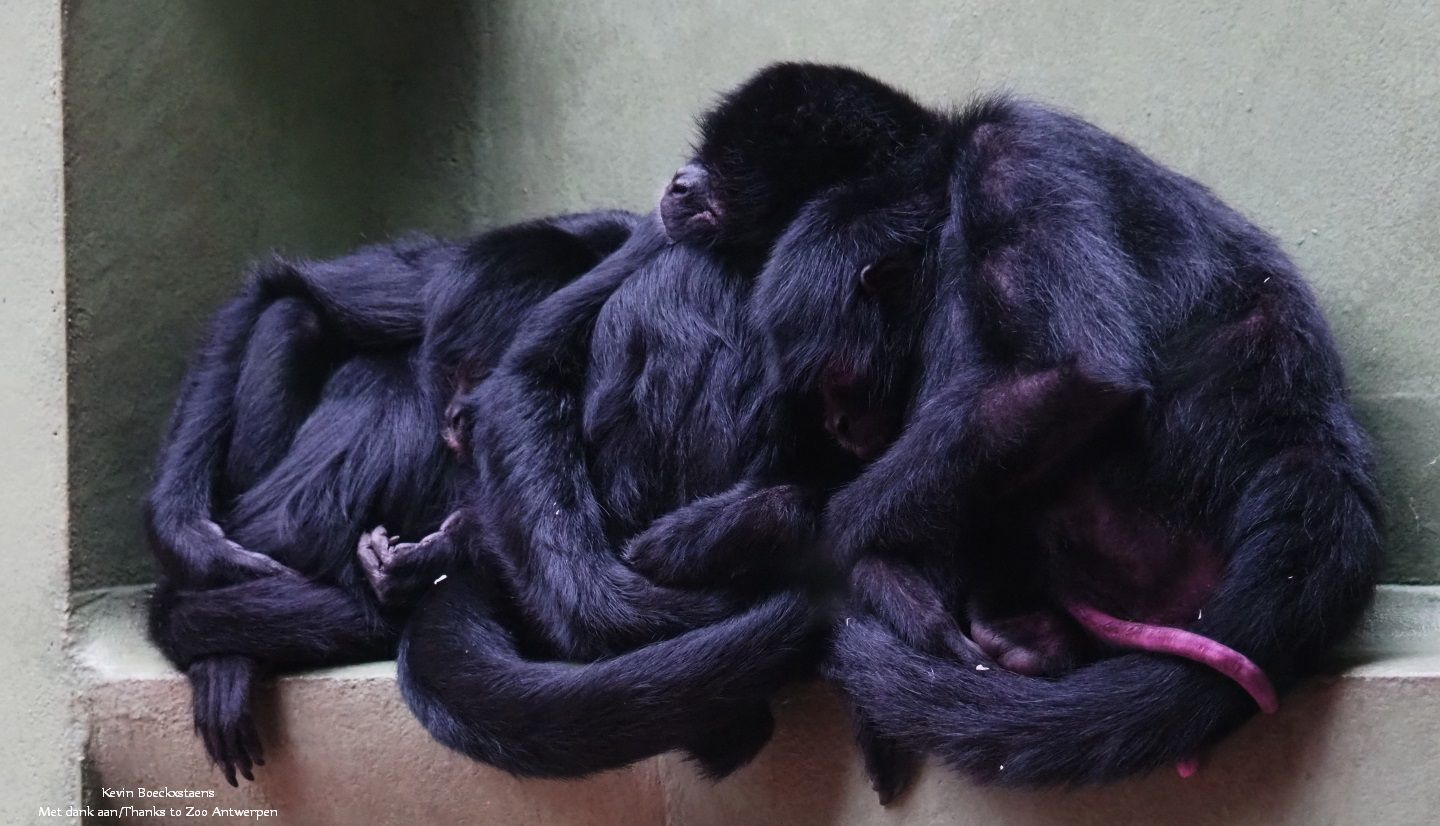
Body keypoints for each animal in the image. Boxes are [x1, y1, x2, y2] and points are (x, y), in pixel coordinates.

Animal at [144, 210, 640, 785]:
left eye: (490, 378)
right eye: (458, 370)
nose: (456, 416)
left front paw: (438, 555)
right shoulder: (437, 281)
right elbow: (274, 291)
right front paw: (190, 540)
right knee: (292, 314)